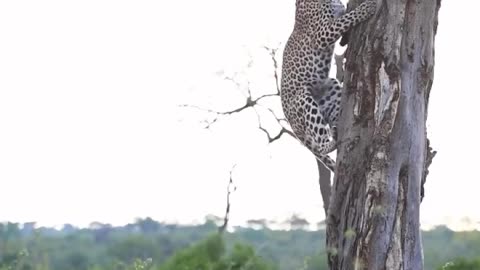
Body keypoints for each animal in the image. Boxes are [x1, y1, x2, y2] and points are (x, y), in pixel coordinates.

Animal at [280, 0, 376, 172]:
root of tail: (291, 123)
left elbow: (344, 19)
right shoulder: (321, 33)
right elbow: (345, 20)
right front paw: (366, 8)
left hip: (331, 88)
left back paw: (337, 128)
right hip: (302, 98)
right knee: (320, 145)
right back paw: (331, 142)